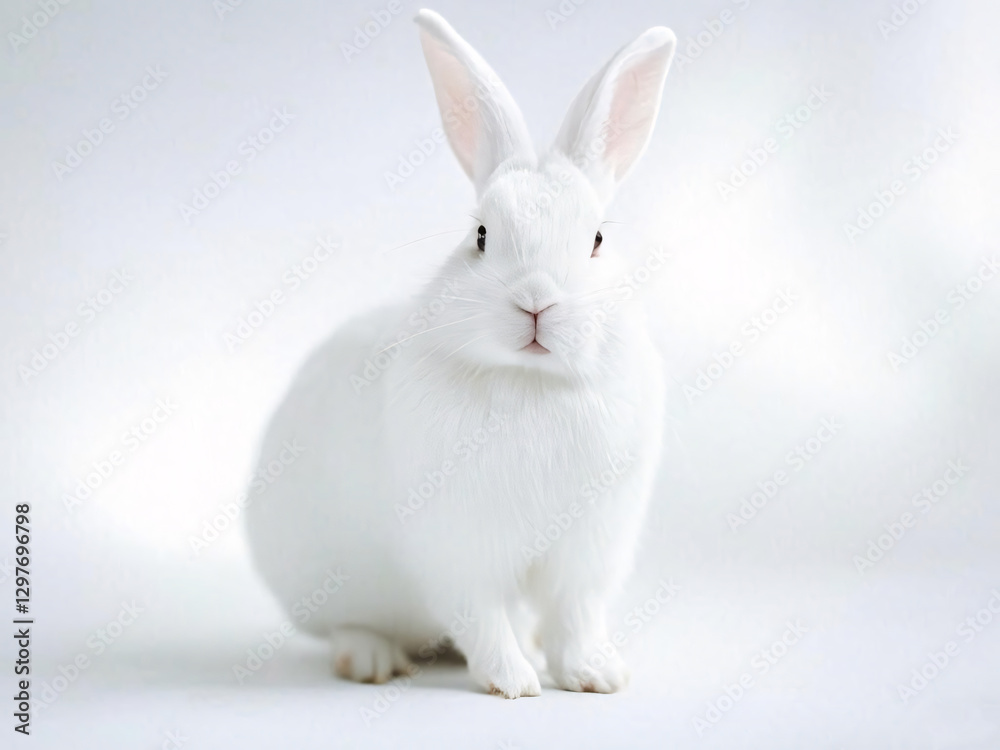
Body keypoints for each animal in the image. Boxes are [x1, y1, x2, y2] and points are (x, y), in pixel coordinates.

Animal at [245, 8, 676, 699]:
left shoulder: (587, 552)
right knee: (347, 624)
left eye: (597, 240)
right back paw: (370, 660)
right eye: (479, 236)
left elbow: (575, 616)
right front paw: (514, 683)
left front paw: (595, 675)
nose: (536, 301)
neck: (530, 382)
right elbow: (483, 617)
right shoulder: (455, 549)